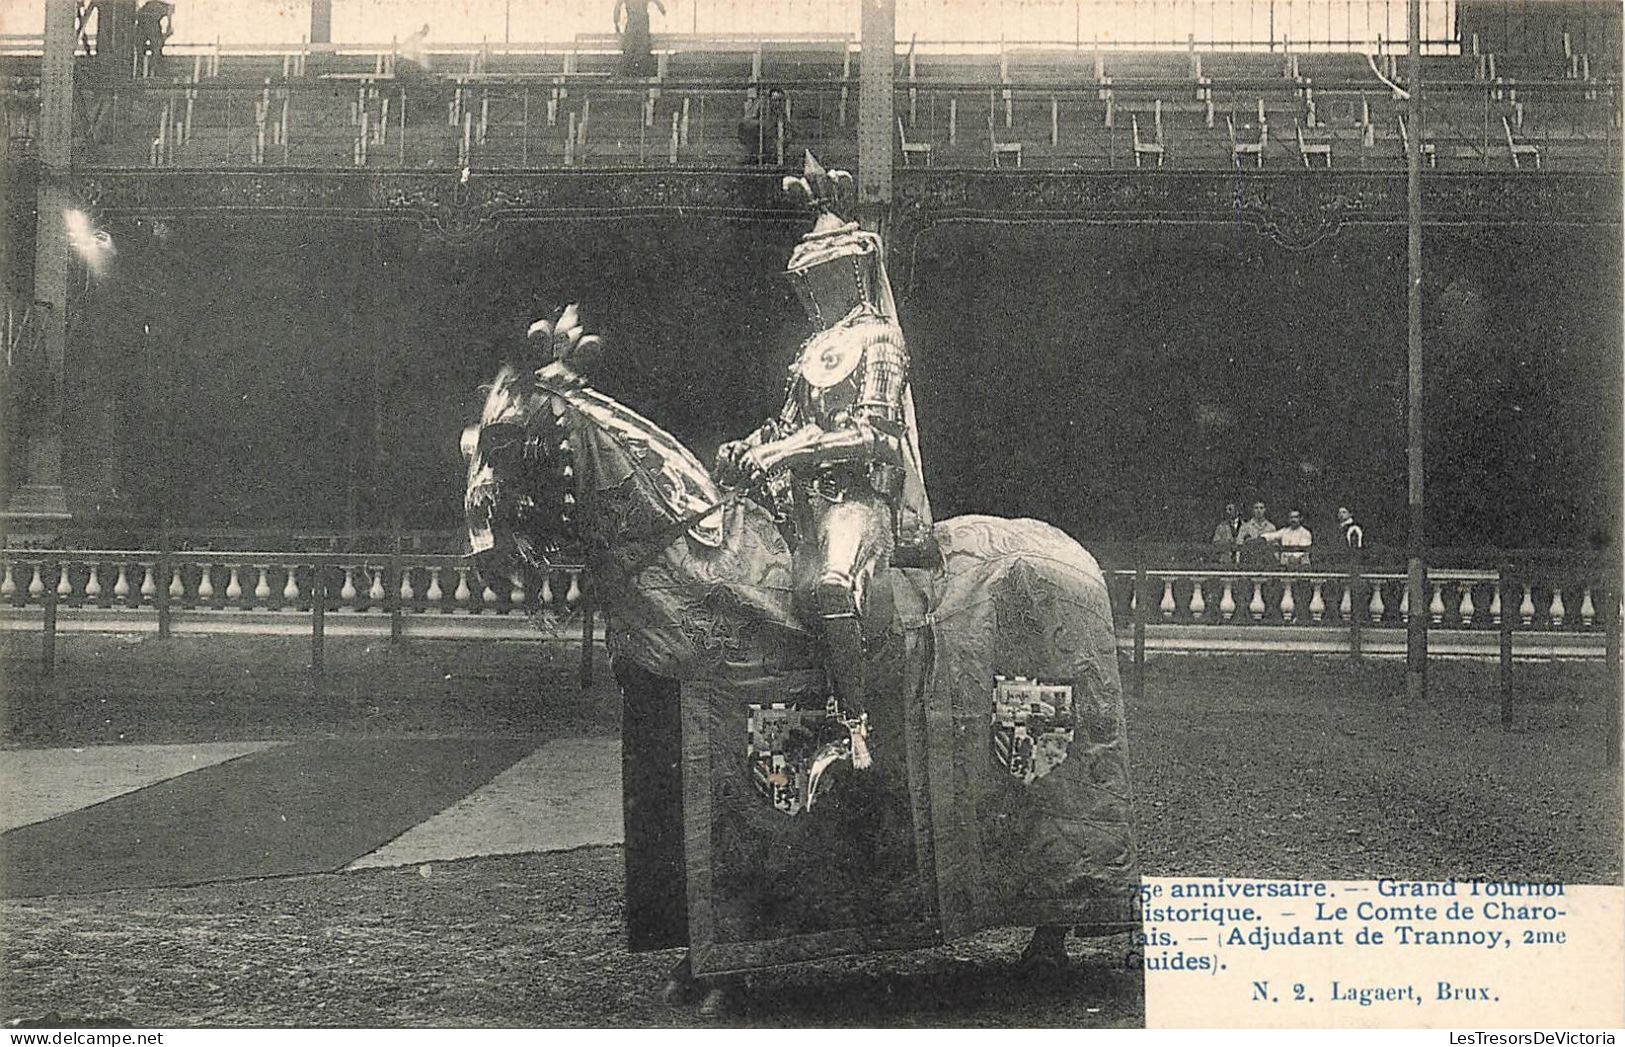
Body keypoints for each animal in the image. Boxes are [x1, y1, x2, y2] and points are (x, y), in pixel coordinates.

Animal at [461, 320, 1144, 1014]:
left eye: (505, 437)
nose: (487, 561)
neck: (705, 561)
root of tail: (1079, 558)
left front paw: (718, 982)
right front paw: (687, 972)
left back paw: (1049, 946)